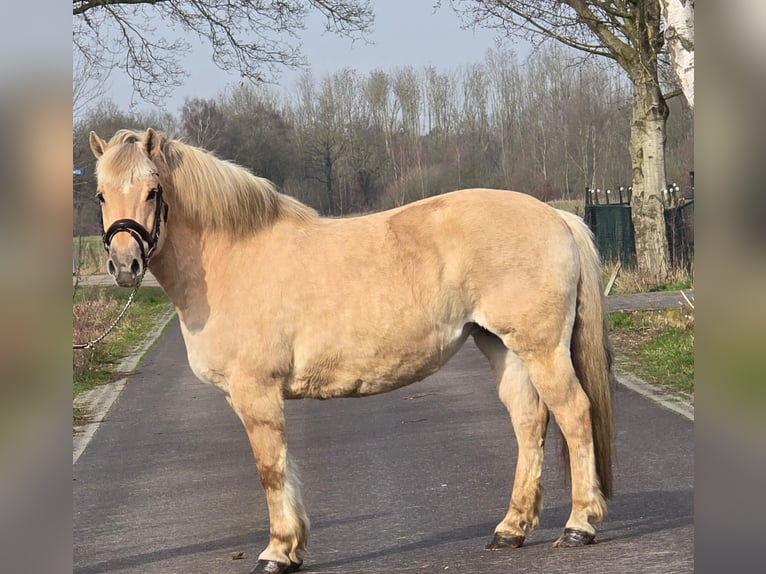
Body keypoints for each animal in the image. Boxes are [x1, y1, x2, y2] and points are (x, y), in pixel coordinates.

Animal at [89, 128, 614, 574]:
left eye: (153, 191)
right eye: (100, 194)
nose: (124, 264)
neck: (230, 261)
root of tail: (557, 217)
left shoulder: (255, 393)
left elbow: (270, 469)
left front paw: (276, 553)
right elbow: (284, 467)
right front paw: (292, 549)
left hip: (541, 348)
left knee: (573, 412)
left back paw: (579, 525)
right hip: (504, 347)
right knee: (529, 423)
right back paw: (511, 530)